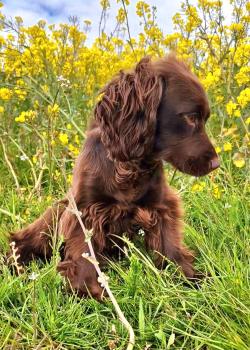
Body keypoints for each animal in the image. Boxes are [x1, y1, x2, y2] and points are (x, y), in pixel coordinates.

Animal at [7, 54, 219, 298]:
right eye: (191, 117)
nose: (217, 164)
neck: (128, 166)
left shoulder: (161, 205)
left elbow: (169, 244)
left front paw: (189, 276)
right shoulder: (85, 209)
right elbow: (84, 250)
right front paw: (87, 289)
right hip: (56, 210)